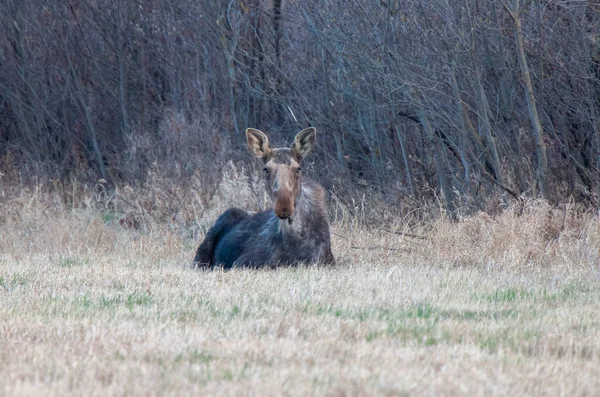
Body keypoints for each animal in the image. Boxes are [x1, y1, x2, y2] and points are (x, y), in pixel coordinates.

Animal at [193, 128, 336, 268]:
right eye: (266, 169)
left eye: (298, 169)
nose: (284, 206)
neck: (296, 240)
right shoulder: (242, 262)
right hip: (201, 256)